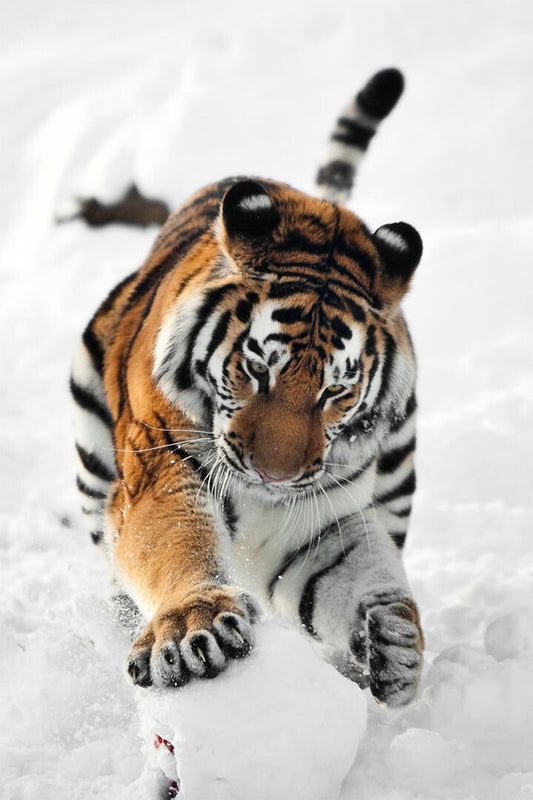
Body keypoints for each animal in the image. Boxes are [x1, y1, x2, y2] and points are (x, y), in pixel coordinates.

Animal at [71, 67, 424, 708]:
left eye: (335, 392)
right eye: (257, 368)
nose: (274, 475)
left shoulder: (319, 520)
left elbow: (356, 572)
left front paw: (392, 639)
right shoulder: (161, 470)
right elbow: (172, 544)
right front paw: (194, 626)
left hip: (399, 475)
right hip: (93, 454)